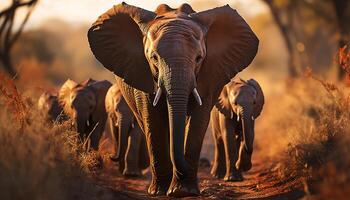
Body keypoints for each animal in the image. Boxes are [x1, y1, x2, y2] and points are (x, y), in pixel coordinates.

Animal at [86, 2, 258, 197]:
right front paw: (160, 192)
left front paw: (183, 191)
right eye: (153, 58)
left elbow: (197, 122)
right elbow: (153, 122)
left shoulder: (208, 77)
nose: (202, 164)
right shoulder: (142, 74)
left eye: (199, 58)